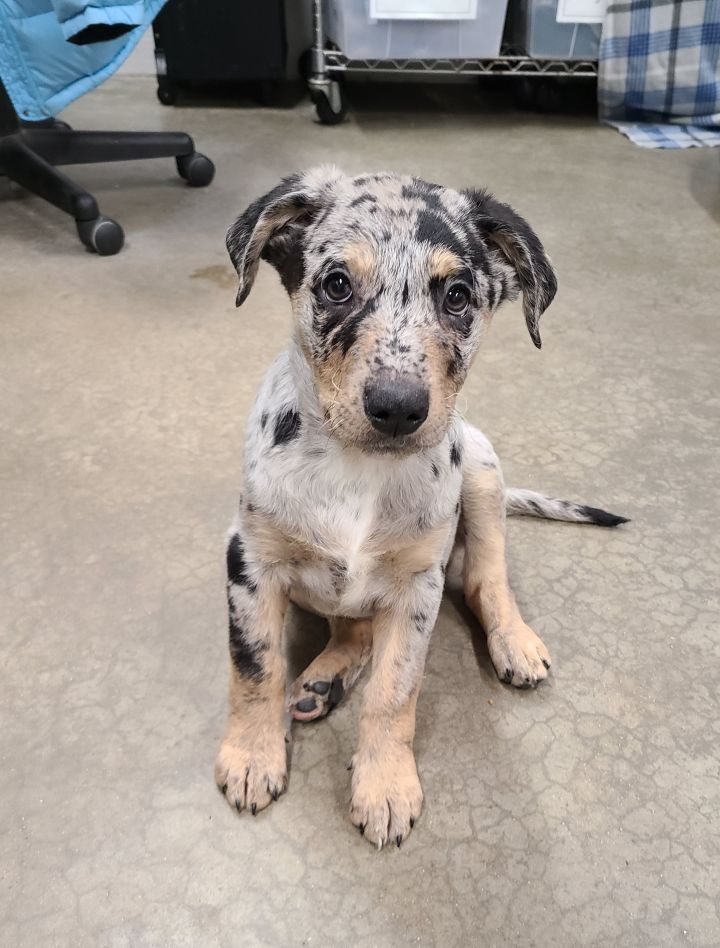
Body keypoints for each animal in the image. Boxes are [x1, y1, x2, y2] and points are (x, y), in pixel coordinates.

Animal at [214, 167, 624, 848]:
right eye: (336, 284)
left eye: (457, 296)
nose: (399, 408)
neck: (357, 470)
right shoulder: (249, 562)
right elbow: (256, 667)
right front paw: (252, 755)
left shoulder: (418, 590)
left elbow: (394, 691)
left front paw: (384, 785)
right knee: (350, 627)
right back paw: (321, 681)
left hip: (481, 470)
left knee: (486, 578)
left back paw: (513, 641)